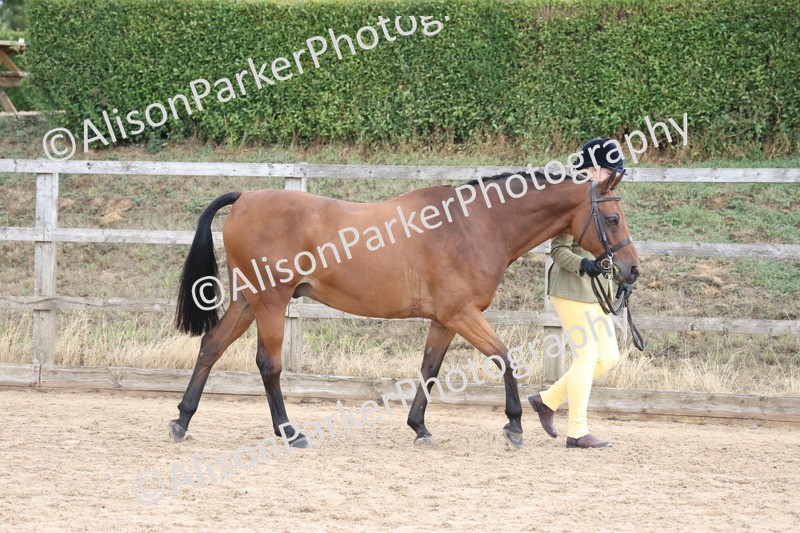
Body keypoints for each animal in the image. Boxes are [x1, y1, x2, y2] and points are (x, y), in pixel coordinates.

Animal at [169, 169, 640, 449]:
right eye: (612, 219)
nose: (632, 270)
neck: (473, 226)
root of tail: (245, 197)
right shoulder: (462, 314)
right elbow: (504, 358)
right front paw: (514, 425)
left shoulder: (444, 320)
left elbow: (429, 369)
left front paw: (419, 426)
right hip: (270, 302)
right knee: (268, 364)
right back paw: (290, 432)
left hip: (248, 301)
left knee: (211, 347)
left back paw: (182, 420)